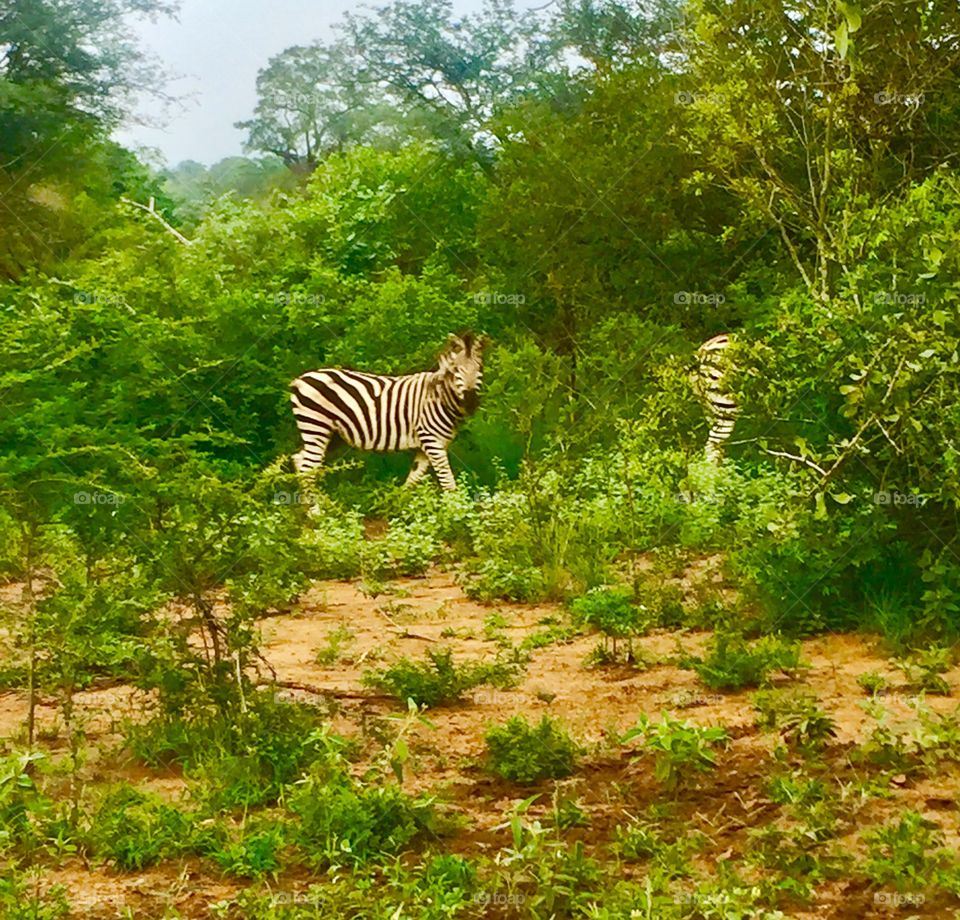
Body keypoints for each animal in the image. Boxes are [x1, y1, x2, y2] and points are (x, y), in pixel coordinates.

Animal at [288, 330, 484, 488]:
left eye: (479, 369)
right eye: (456, 370)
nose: (471, 402)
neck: (439, 396)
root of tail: (300, 380)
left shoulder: (428, 445)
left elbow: (412, 480)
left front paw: (401, 506)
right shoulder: (432, 441)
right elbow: (448, 483)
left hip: (331, 434)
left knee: (300, 460)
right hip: (316, 426)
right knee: (307, 471)